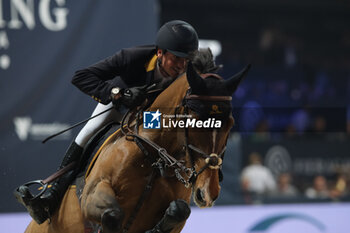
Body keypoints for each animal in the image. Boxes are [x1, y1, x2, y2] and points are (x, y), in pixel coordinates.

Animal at [23, 62, 249, 233]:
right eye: (194, 121)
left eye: (230, 124)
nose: (208, 192)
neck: (155, 157)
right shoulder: (92, 194)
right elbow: (112, 214)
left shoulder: (178, 214)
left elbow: (179, 210)